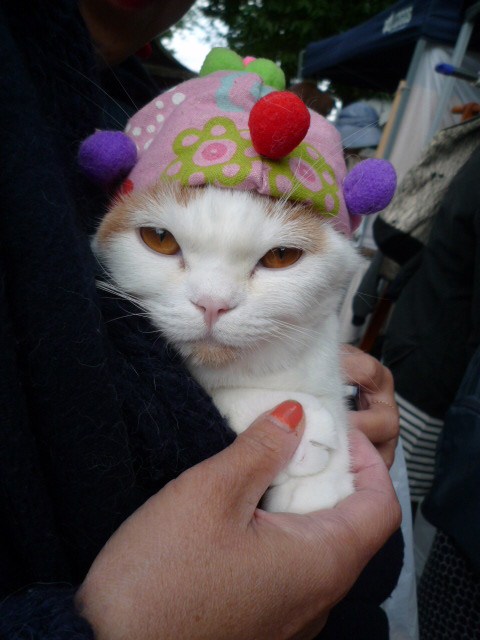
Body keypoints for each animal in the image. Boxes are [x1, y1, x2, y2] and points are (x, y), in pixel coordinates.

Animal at [92, 180, 360, 516]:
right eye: (160, 238)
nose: (212, 303)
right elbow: (213, 393)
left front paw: (322, 483)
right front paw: (303, 424)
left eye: (282, 255)